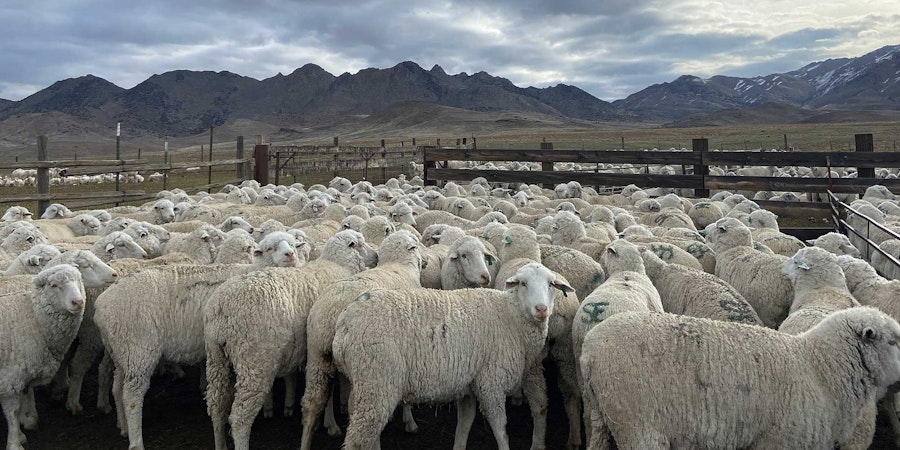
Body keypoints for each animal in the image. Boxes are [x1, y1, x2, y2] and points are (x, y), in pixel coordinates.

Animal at [1, 265, 85, 450]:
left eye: (79, 280)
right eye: (54, 285)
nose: (78, 302)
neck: (33, 315)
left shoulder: (23, 370)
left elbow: (23, 399)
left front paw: (23, 430)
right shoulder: (11, 374)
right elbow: (13, 411)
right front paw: (14, 443)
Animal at [203, 230, 377, 450]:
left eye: (294, 245)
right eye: (360, 244)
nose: (377, 256)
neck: (338, 264)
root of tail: (221, 307)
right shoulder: (322, 348)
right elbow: (329, 389)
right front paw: (331, 424)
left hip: (216, 358)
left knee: (216, 405)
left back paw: (220, 442)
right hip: (255, 361)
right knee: (240, 418)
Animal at [299, 231, 425, 449]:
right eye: (416, 245)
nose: (425, 263)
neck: (399, 265)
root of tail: (331, 311)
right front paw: (409, 421)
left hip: (317, 354)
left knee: (312, 402)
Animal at [332, 263, 574, 450]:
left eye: (551, 284)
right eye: (523, 283)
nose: (541, 309)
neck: (511, 315)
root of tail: (344, 323)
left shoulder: (469, 385)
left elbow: (464, 426)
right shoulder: (491, 383)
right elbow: (501, 429)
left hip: (366, 385)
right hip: (377, 382)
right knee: (358, 439)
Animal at [579, 307, 900, 450]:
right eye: (894, 341)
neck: (819, 368)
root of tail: (589, 349)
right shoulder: (778, 442)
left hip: (603, 417)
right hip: (638, 426)